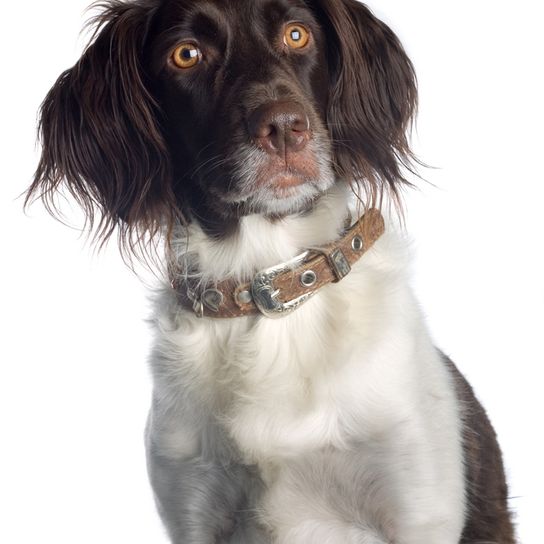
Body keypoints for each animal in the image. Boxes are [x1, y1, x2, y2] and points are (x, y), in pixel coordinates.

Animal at [26, 1, 516, 544]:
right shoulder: (193, 507)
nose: (284, 126)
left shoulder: (417, 510)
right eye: (186, 54)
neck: (271, 295)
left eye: (297, 34)